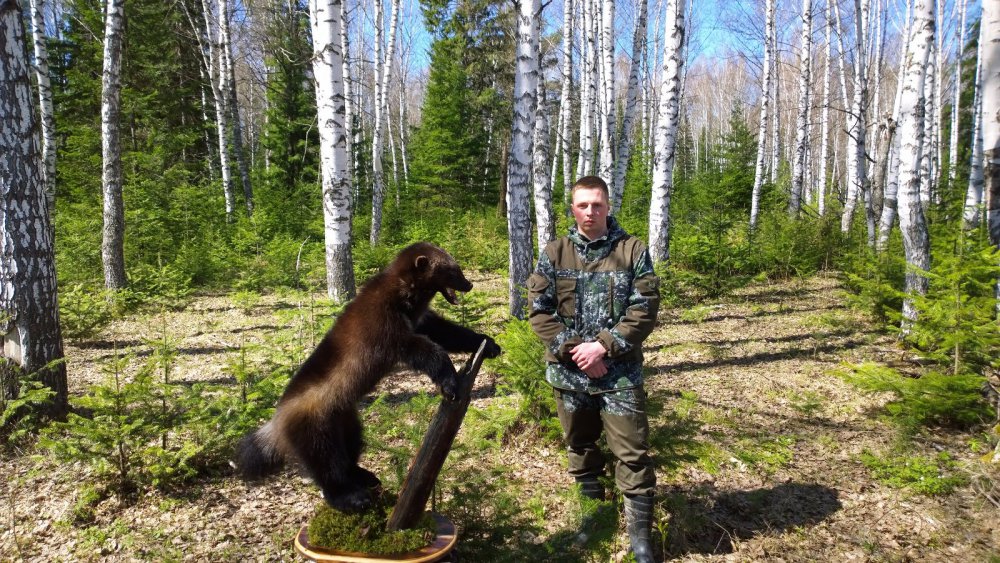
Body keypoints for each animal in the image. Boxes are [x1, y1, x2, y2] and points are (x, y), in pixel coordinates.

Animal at [233, 242, 501, 513]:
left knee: (350, 449)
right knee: (326, 466)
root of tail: (275, 421)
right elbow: (426, 351)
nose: (469, 284)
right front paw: (449, 382)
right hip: (315, 428)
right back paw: (349, 497)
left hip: (345, 418)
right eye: (452, 270)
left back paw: (363, 475)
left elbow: (446, 331)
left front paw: (488, 343)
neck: (401, 294)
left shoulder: (419, 320)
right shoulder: (386, 326)